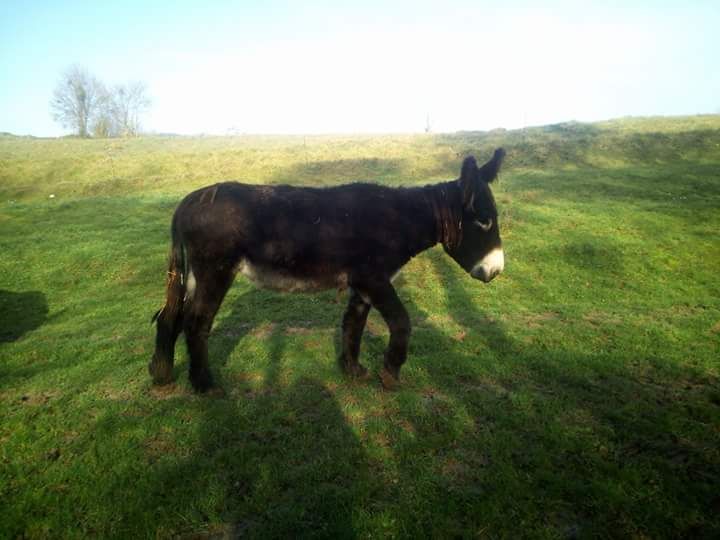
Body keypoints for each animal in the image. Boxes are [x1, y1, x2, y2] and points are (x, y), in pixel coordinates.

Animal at [150, 148, 506, 392]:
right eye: (484, 221)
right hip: (215, 271)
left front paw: (352, 370)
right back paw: (204, 385)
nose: (497, 270)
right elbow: (402, 322)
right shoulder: (373, 279)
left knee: (171, 316)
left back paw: (161, 375)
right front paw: (390, 373)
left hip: (194, 274)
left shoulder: (362, 285)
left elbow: (353, 324)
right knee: (196, 322)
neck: (399, 221)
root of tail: (189, 201)